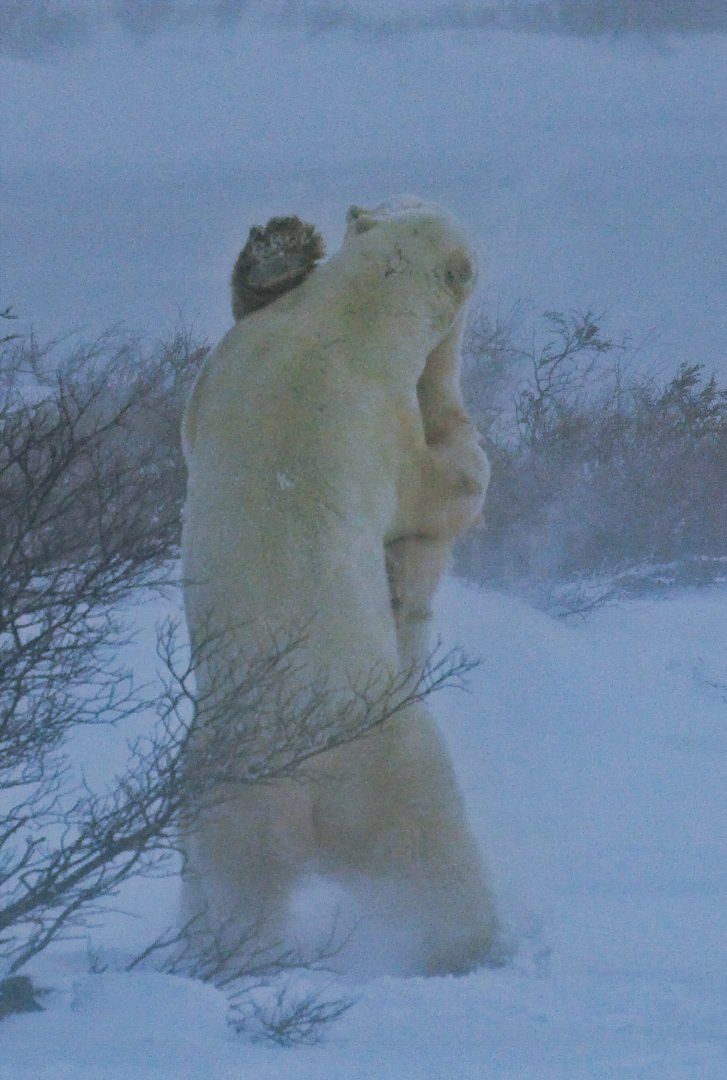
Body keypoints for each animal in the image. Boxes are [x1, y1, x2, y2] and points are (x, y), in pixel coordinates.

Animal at [180, 198, 497, 976]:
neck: (353, 311)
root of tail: (307, 796)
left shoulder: (229, 366)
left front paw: (277, 249)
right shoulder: (381, 421)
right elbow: (443, 483)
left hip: (217, 793)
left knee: (230, 889)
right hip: (393, 766)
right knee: (434, 862)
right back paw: (475, 947)